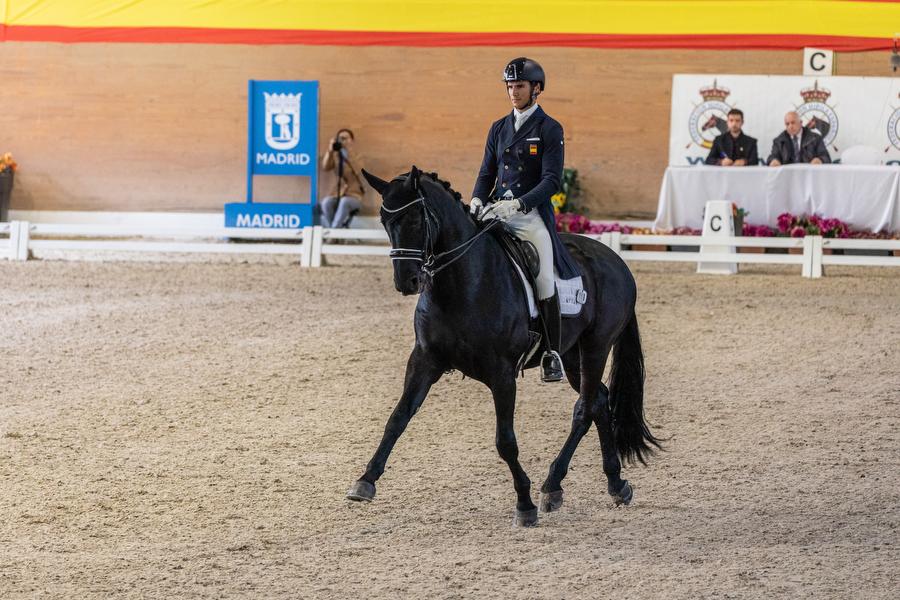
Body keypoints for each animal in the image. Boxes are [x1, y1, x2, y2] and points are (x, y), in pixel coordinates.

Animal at [348, 168, 656, 524]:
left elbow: (505, 441)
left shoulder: (502, 373)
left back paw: (552, 485)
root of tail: (617, 262)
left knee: (584, 409)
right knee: (600, 402)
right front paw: (365, 481)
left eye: (416, 218)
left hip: (596, 347)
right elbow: (397, 418)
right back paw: (614, 484)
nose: (407, 282)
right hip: (571, 355)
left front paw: (524, 503)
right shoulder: (424, 360)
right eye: (385, 220)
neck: (462, 283)